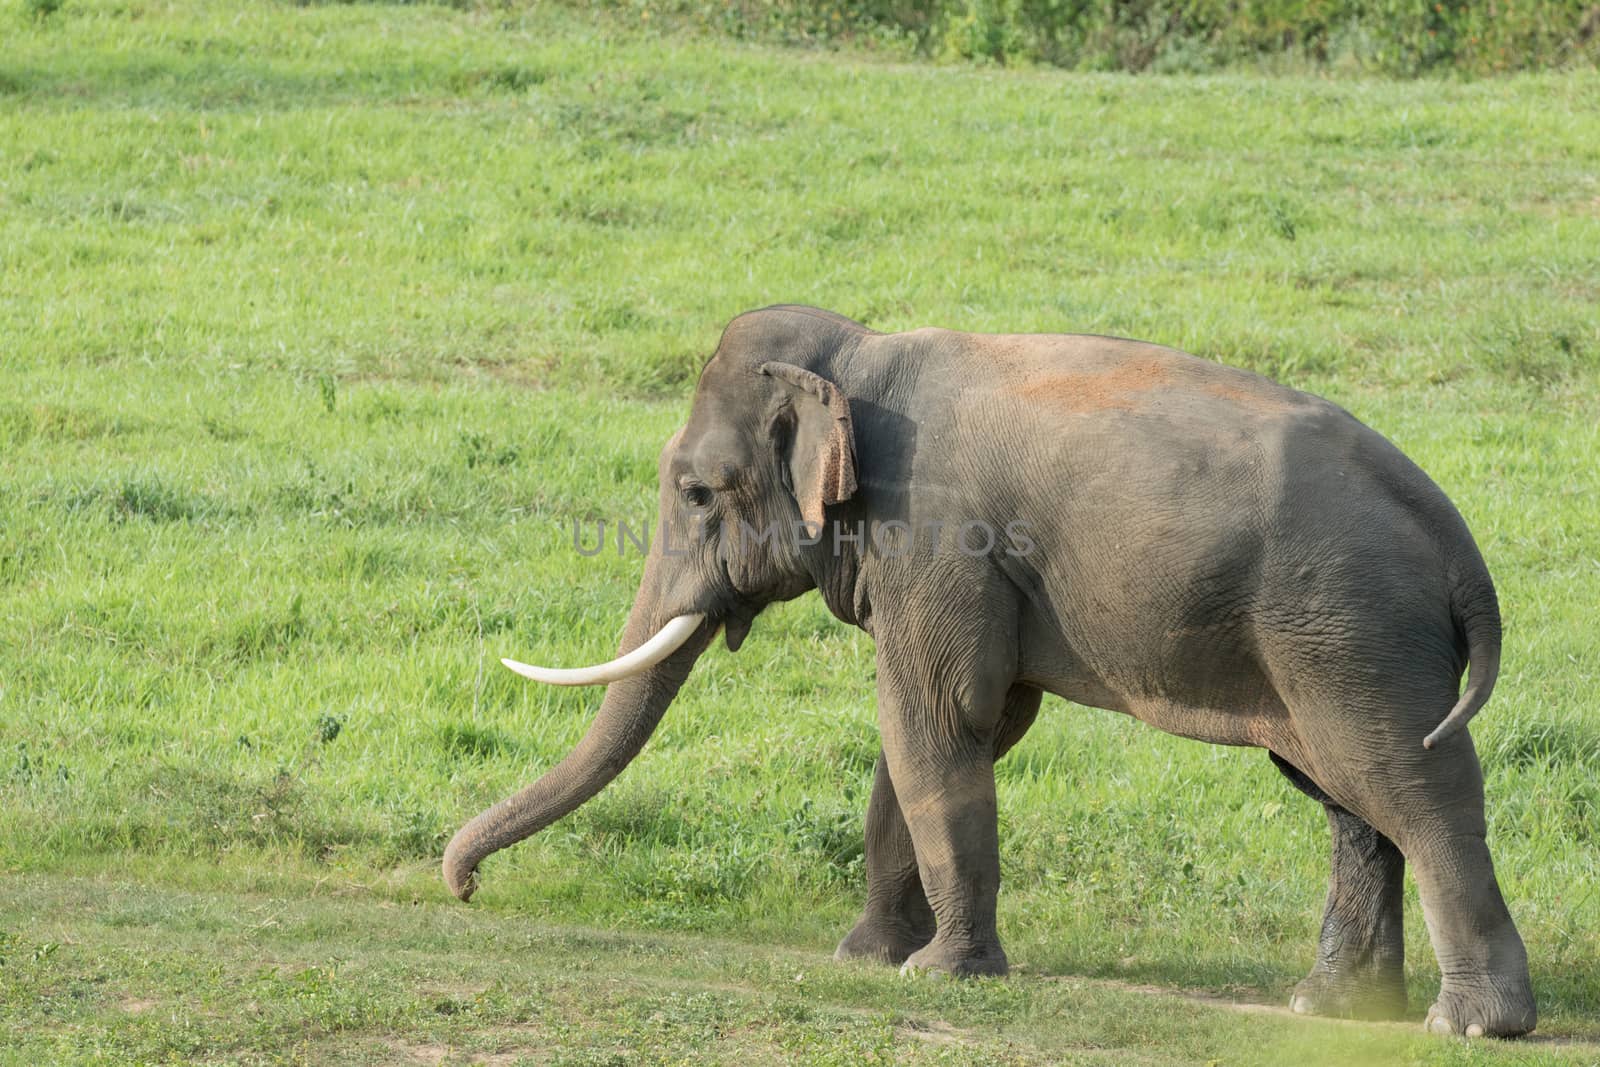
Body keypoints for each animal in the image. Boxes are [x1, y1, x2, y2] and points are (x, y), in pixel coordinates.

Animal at [441, 303, 1536, 1036]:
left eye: (697, 490)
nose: (462, 886)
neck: (863, 352)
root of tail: (1459, 545)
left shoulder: (937, 538)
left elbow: (936, 721)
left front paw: (938, 974)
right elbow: (944, 731)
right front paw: (868, 957)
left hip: (1351, 627)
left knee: (1408, 782)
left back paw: (1471, 1024)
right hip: (1327, 637)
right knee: (1347, 795)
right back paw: (1335, 1006)